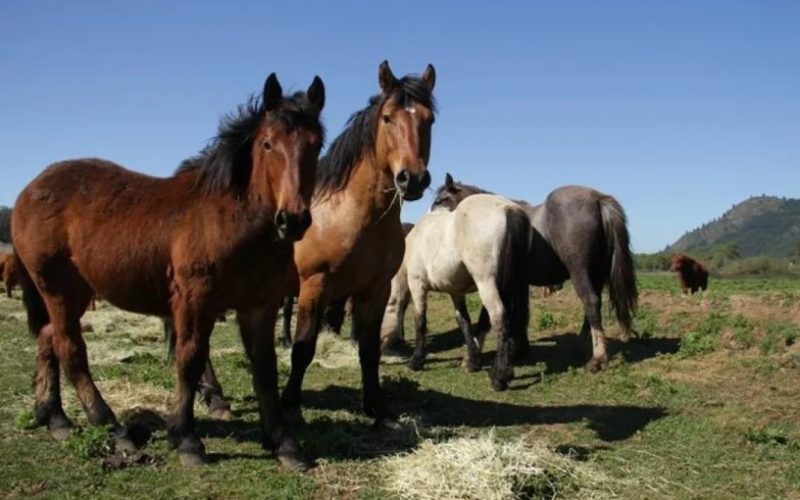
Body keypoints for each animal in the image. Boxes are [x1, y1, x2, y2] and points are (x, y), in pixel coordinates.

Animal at [11, 73, 325, 470]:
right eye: (268, 143)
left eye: (315, 145)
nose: (293, 219)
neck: (229, 219)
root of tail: (30, 190)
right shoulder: (195, 299)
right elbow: (189, 359)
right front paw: (187, 439)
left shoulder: (260, 306)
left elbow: (265, 369)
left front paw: (286, 445)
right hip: (58, 290)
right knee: (71, 351)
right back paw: (113, 430)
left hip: (75, 293)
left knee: (48, 340)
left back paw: (55, 419)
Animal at [380, 195, 531, 390]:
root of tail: (507, 209)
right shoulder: (456, 292)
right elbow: (463, 321)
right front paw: (473, 361)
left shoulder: (417, 285)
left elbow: (420, 321)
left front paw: (416, 361)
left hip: (486, 282)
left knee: (499, 316)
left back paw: (500, 377)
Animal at [425, 173, 638, 372]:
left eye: (441, 200)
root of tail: (597, 198)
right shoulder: (519, 283)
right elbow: (522, 314)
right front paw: (519, 351)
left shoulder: (494, 281)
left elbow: (487, 317)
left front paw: (472, 359)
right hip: (597, 275)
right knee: (593, 306)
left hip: (580, 272)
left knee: (591, 303)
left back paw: (598, 359)